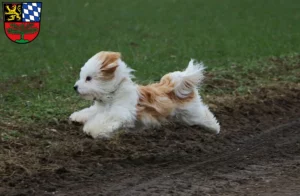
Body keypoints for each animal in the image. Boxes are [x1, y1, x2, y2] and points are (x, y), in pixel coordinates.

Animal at [70, 51, 220, 139]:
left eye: (88, 78)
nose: (75, 87)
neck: (112, 95)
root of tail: (175, 83)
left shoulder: (120, 112)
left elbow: (105, 119)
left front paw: (91, 129)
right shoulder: (99, 109)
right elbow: (90, 112)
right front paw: (77, 117)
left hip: (191, 112)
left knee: (205, 114)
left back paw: (215, 128)